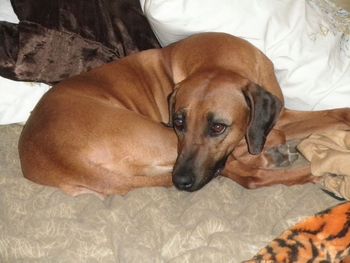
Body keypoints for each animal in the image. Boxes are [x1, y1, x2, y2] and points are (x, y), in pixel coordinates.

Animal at [19, 33, 350, 197]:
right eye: (178, 122)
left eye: (217, 127)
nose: (181, 182)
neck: (217, 60)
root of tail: (59, 158)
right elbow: (263, 143)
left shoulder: (279, 112)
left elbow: (336, 114)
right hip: (159, 138)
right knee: (248, 175)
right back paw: (308, 168)